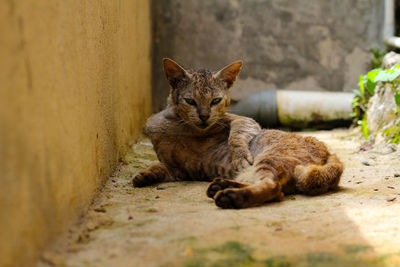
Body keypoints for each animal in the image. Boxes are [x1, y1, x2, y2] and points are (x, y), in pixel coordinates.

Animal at [132, 58, 344, 209]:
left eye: (216, 100)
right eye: (190, 101)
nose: (204, 116)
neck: (180, 125)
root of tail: (329, 152)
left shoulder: (243, 120)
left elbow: (236, 135)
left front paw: (240, 156)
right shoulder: (177, 170)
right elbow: (158, 166)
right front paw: (144, 175)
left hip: (270, 158)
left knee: (273, 188)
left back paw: (231, 196)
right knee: (273, 188)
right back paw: (221, 185)